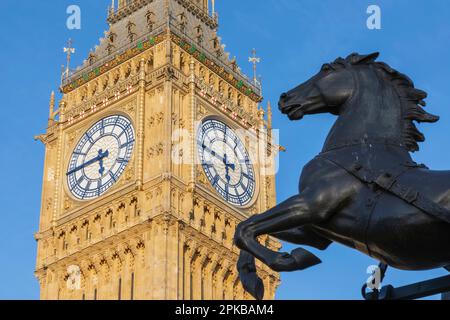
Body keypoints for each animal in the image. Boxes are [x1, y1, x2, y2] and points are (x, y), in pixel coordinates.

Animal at [234, 52, 450, 300]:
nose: (284, 97)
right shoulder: (316, 229)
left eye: (326, 68)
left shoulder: (313, 203)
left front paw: (288, 259)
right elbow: (249, 228)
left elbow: (244, 228)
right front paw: (252, 277)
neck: (361, 148)